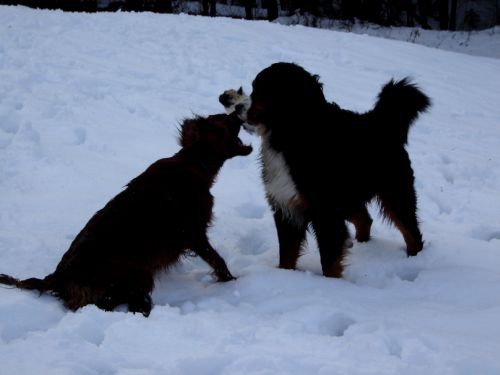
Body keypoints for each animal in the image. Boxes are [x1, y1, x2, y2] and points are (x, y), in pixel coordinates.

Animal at [0, 112, 250, 318]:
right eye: (225, 120)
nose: (239, 113)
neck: (194, 164)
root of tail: (58, 277)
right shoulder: (193, 233)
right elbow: (217, 259)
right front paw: (232, 282)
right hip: (137, 274)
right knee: (127, 305)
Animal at [223, 63, 430, 278]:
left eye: (263, 90)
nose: (237, 108)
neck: (290, 136)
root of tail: (380, 122)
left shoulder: (325, 212)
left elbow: (329, 261)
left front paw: (331, 284)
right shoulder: (286, 206)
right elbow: (287, 254)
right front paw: (285, 277)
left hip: (395, 193)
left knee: (411, 232)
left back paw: (414, 258)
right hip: (348, 197)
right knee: (365, 220)